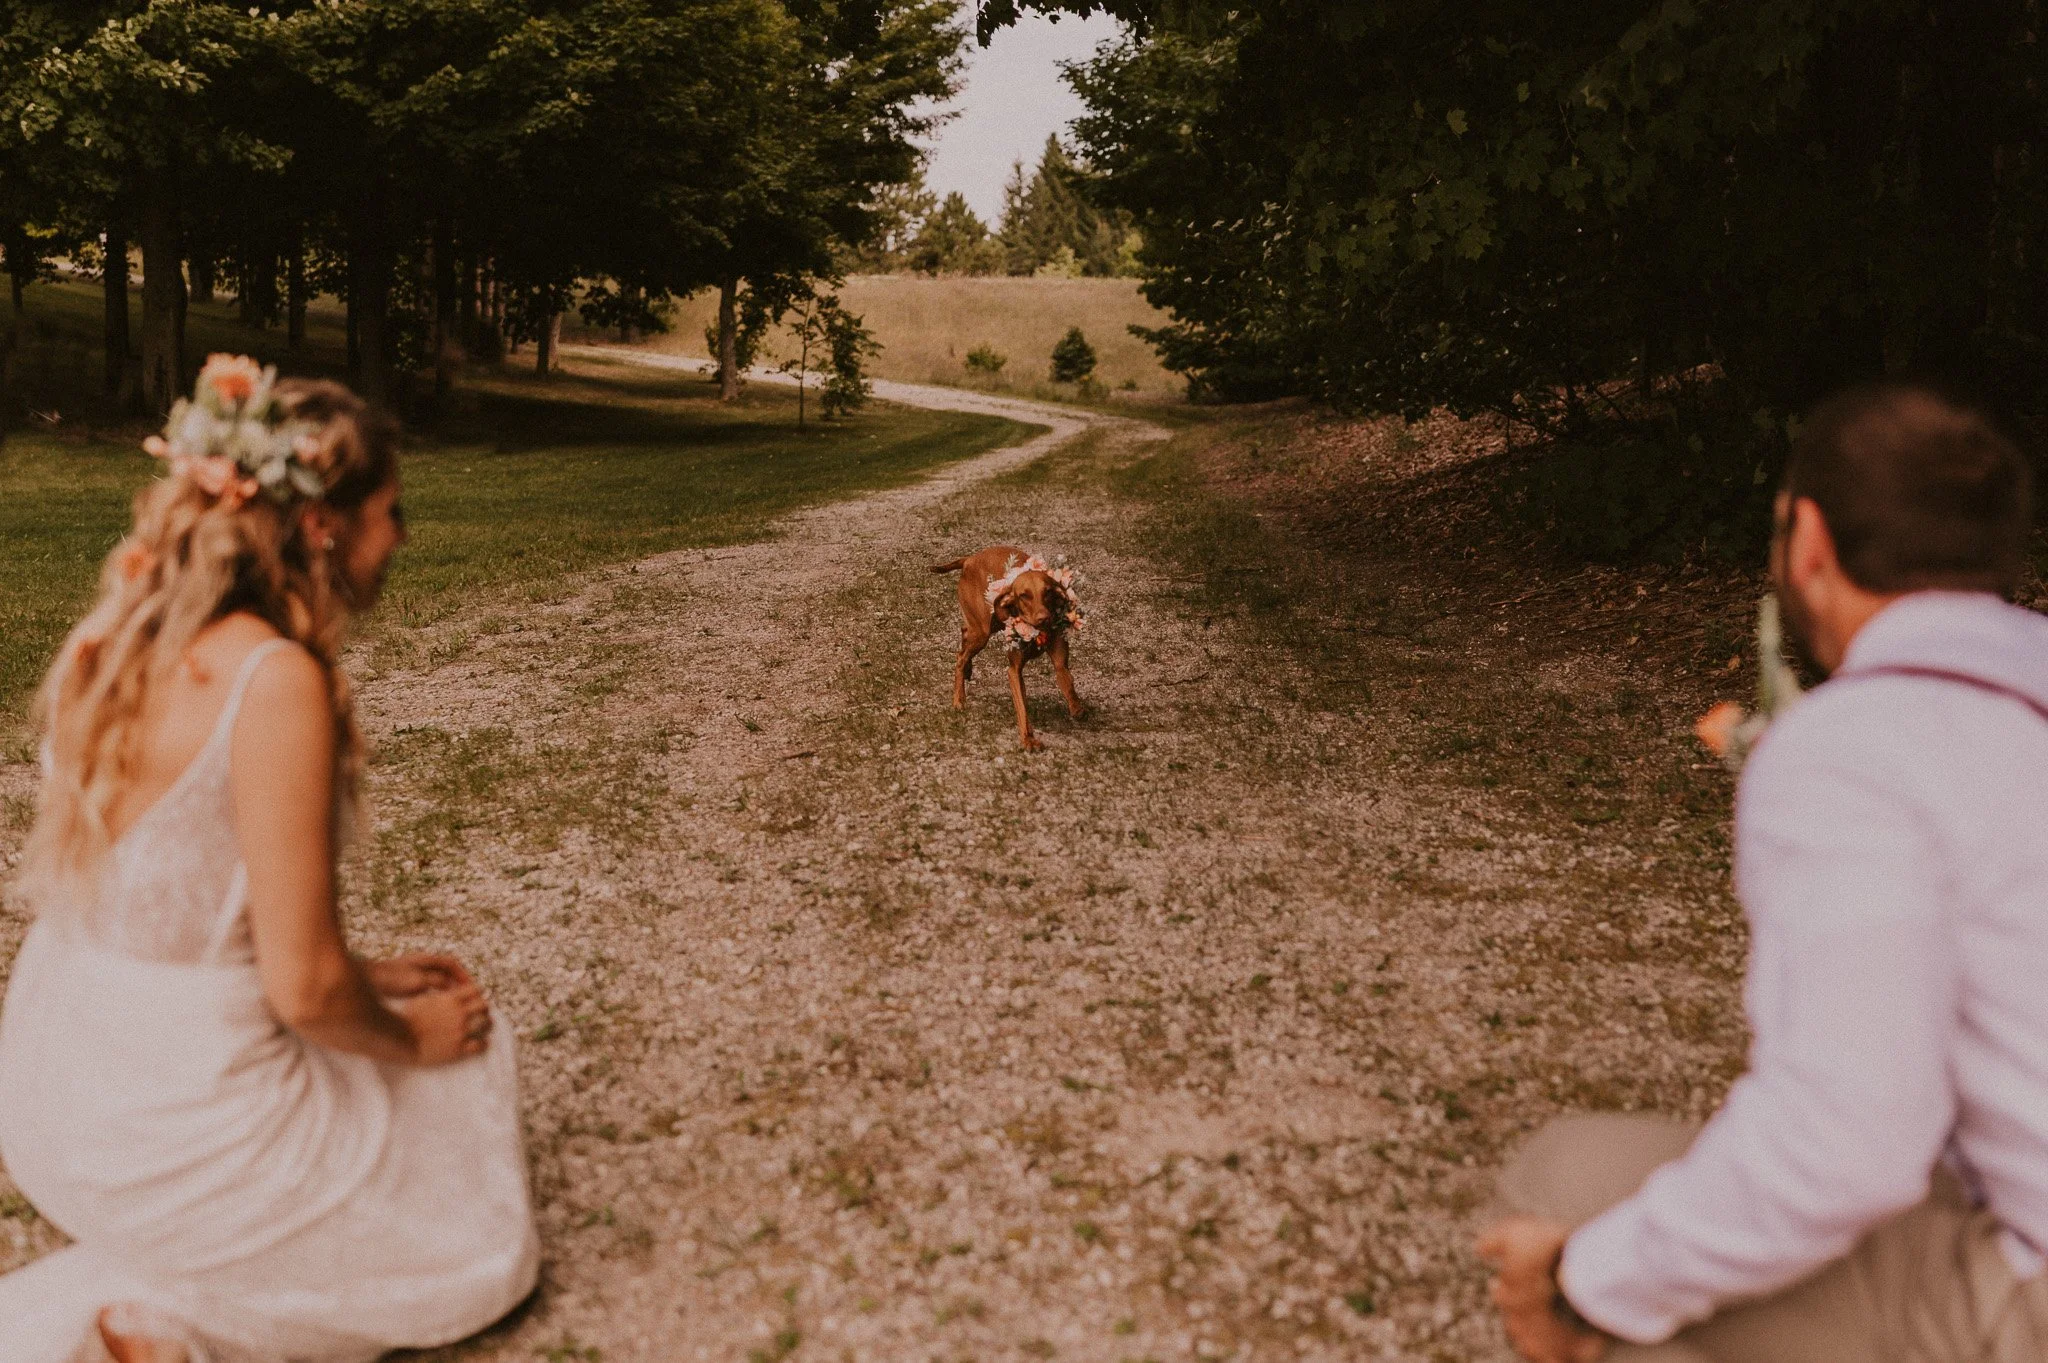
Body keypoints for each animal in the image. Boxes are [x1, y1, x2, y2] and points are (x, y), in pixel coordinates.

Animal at [933, 548, 1089, 749]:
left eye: (1047, 592)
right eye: (1024, 595)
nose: (1044, 618)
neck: (1037, 632)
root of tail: (969, 559)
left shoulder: (1060, 662)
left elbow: (1068, 683)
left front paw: (1077, 707)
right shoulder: (1014, 671)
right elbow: (1022, 706)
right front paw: (1028, 739)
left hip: (988, 625)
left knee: (964, 634)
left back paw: (968, 669)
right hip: (983, 631)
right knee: (961, 655)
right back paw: (959, 698)